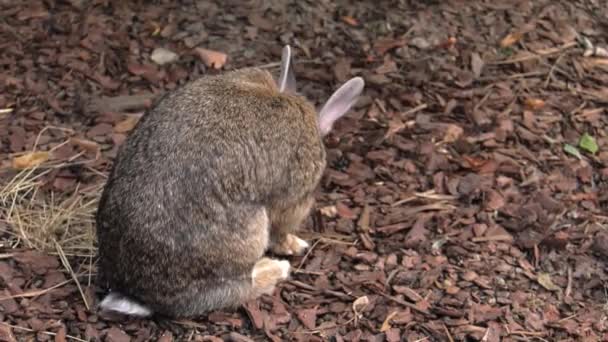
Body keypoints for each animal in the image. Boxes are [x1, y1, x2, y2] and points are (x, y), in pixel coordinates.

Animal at [94, 45, 360, 318]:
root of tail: (141, 296)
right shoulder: (293, 198)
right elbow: (281, 226)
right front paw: (294, 244)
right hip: (249, 231)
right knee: (237, 289)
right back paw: (275, 270)